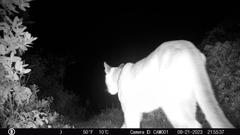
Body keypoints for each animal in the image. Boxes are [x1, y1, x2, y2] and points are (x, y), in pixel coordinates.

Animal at [104, 39, 233, 127]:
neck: (119, 75)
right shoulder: (135, 112)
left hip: (172, 105)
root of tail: (188, 46)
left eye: (106, 82)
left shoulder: (130, 111)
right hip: (188, 100)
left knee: (190, 124)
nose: (108, 90)